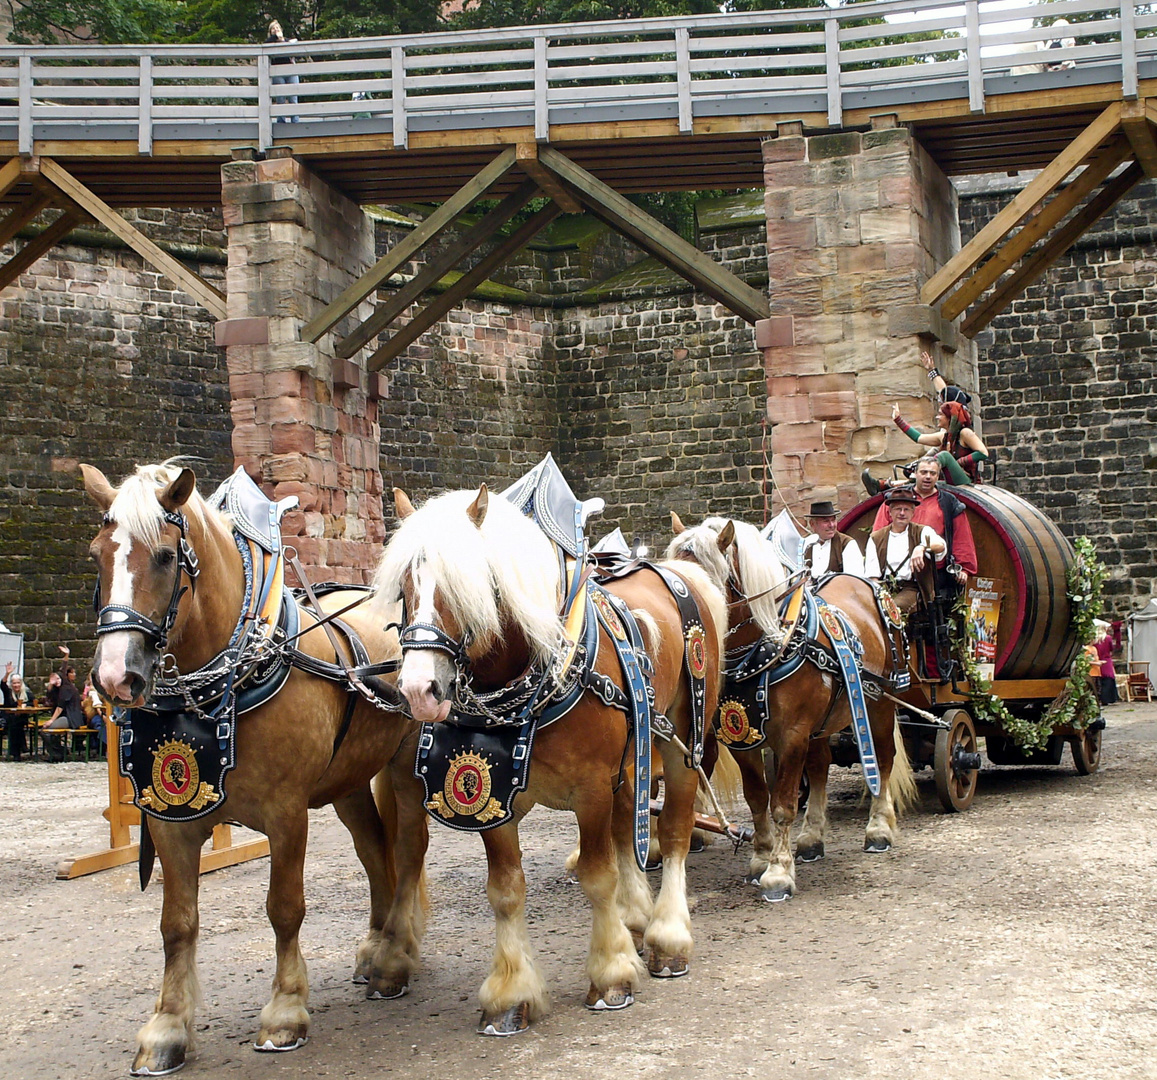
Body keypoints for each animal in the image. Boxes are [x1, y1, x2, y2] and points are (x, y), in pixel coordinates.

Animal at [83, 460, 423, 1069]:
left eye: (165, 556)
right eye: (97, 553)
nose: (116, 676)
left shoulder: (287, 813)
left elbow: (284, 907)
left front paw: (285, 1011)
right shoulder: (169, 822)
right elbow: (176, 923)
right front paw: (168, 1026)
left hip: (403, 769)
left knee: (406, 852)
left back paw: (396, 956)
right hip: (348, 782)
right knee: (372, 851)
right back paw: (377, 944)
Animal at [374, 483, 721, 1032]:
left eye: (467, 586)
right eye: (404, 587)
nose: (418, 689)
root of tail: (676, 573)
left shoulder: (592, 787)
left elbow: (598, 877)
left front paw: (611, 974)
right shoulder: (496, 797)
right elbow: (505, 890)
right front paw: (511, 991)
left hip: (681, 741)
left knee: (674, 833)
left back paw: (667, 935)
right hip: (633, 757)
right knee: (629, 826)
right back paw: (636, 919)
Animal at [666, 513, 916, 902]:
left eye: (703, 580)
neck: (767, 645)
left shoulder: (793, 734)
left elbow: (782, 804)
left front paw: (778, 873)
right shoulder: (742, 738)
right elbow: (757, 798)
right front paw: (760, 858)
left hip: (878, 703)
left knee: (884, 758)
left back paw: (878, 828)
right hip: (823, 723)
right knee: (820, 766)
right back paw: (812, 838)